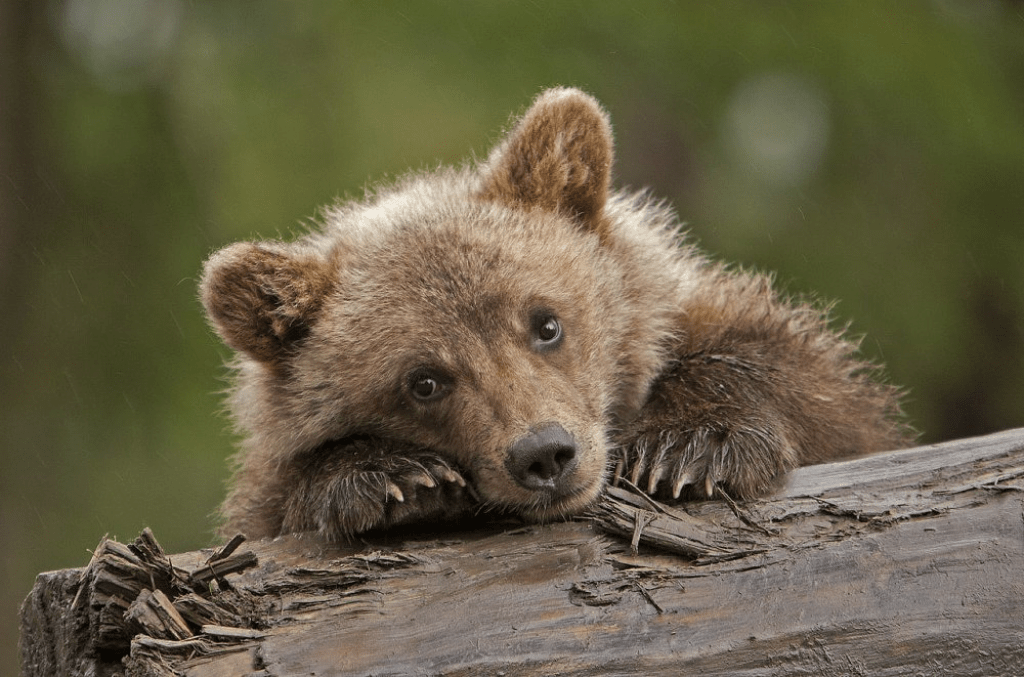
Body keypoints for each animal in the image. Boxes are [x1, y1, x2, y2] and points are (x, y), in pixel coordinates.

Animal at [199, 86, 913, 536]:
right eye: (423, 380)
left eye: (546, 323)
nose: (544, 454)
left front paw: (690, 447)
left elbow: (803, 383)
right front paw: (392, 478)